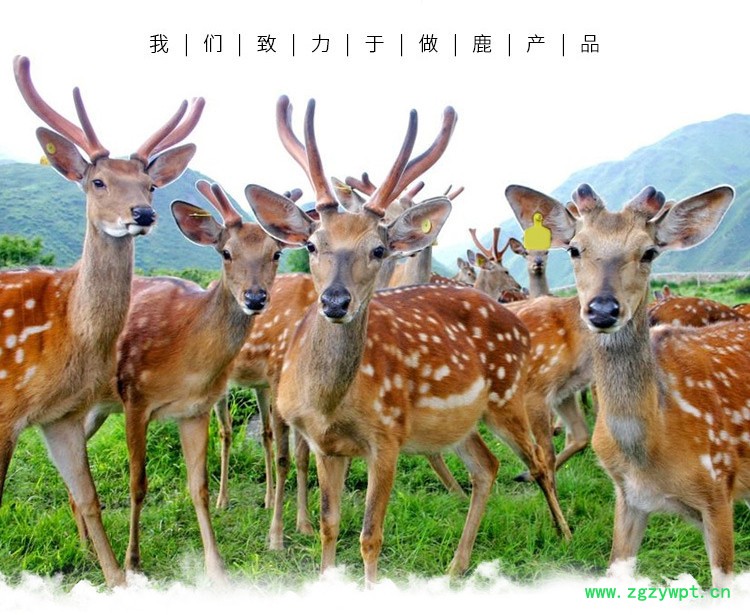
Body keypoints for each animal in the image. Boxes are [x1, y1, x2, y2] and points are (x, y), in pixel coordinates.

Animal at [0, 56, 202, 587]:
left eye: (150, 185)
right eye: (98, 181)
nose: (143, 213)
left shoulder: (62, 414)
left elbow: (89, 496)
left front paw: (115, 577)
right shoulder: (6, 411)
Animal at [246, 96, 570, 585]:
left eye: (378, 249)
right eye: (314, 244)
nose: (335, 300)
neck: (329, 403)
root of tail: (514, 319)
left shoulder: (388, 436)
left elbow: (369, 536)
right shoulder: (324, 444)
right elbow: (328, 525)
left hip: (507, 395)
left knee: (537, 459)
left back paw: (565, 533)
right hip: (458, 422)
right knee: (487, 466)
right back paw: (457, 564)